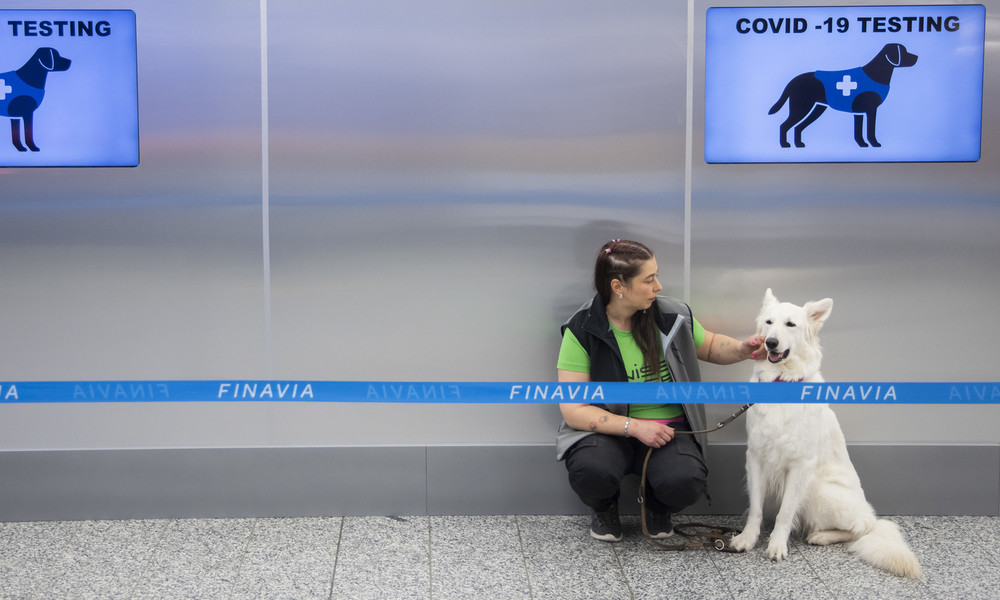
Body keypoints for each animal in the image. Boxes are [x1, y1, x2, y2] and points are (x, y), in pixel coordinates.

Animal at [728, 288, 920, 580]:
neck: (781, 384)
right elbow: (756, 509)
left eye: (790, 324)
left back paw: (821, 536)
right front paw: (748, 539)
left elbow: (785, 513)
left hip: (819, 490)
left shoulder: (800, 465)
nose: (771, 343)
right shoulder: (756, 459)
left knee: (861, 527)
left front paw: (776, 545)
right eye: (769, 322)